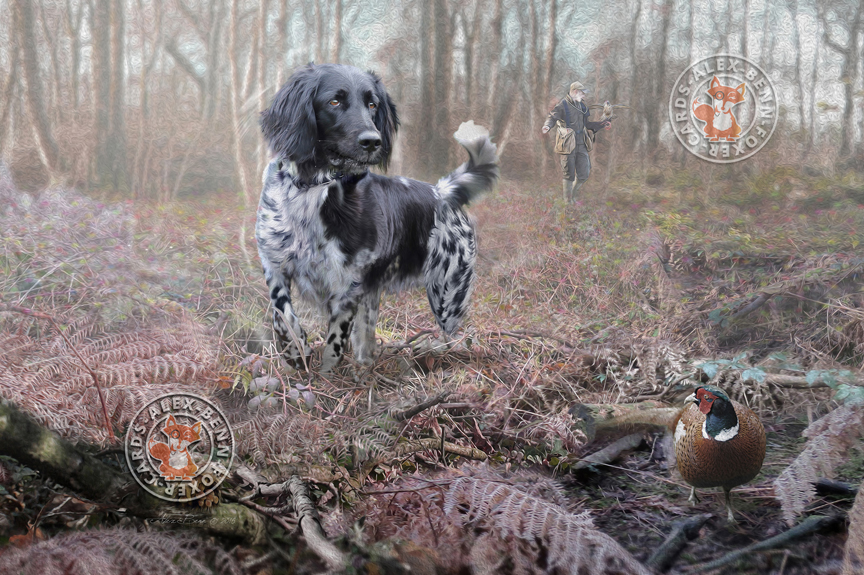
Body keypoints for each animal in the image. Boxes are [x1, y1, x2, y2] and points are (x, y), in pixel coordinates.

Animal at [255, 64, 500, 374]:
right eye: (334, 101)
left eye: (372, 104)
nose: (373, 141)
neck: (312, 189)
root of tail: (442, 191)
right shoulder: (273, 263)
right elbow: (282, 316)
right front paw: (296, 353)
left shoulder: (348, 283)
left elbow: (335, 339)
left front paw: (327, 374)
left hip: (448, 294)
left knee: (453, 336)